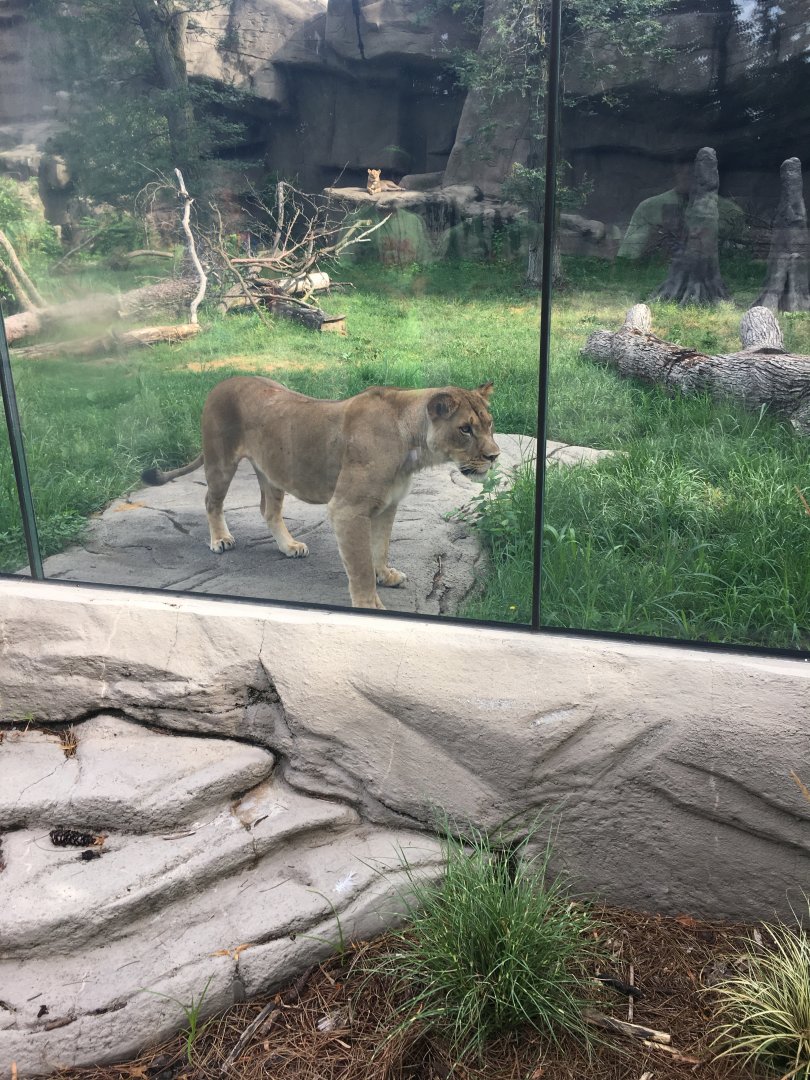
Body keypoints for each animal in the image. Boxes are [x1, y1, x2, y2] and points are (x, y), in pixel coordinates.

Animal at [141, 377, 500, 610]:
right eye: (465, 429)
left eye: (490, 424)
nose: (495, 456)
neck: (413, 446)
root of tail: (221, 382)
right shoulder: (348, 509)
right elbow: (359, 564)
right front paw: (369, 604)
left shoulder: (387, 505)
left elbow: (380, 546)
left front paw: (385, 575)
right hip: (220, 461)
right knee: (211, 501)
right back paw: (220, 539)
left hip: (272, 470)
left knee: (268, 510)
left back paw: (289, 547)